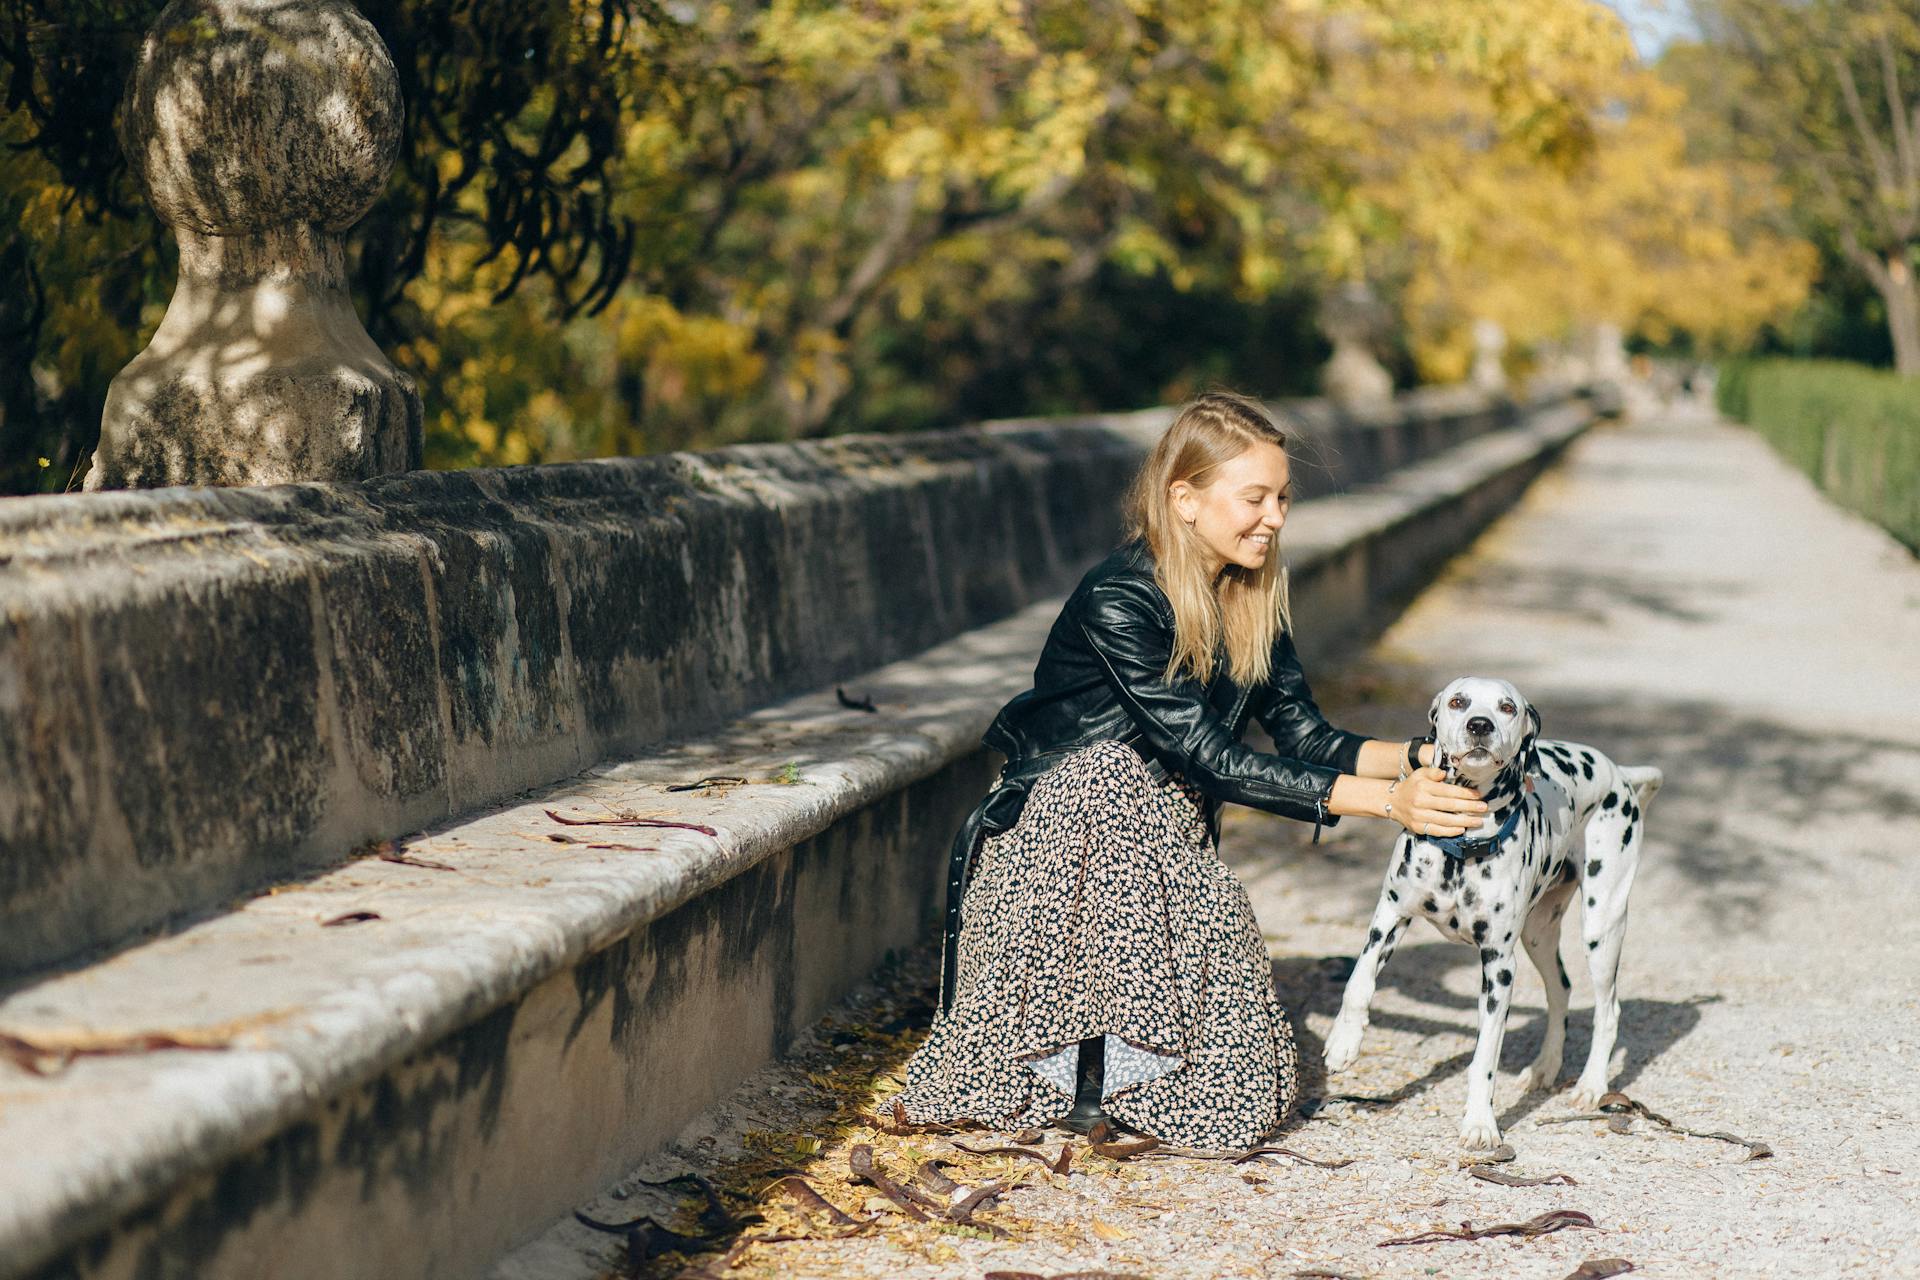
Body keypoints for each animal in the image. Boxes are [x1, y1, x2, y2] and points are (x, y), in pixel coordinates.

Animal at [1320, 679, 1666, 1151]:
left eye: (1507, 708)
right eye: (1457, 701)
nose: (1479, 725)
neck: (1461, 844)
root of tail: (1619, 773)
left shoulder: (1499, 968)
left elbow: (1484, 1056)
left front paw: (1480, 1124)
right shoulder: (1389, 918)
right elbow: (1359, 980)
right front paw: (1343, 1042)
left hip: (1602, 925)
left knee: (1608, 1010)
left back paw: (1591, 1085)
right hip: (1538, 933)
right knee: (1561, 989)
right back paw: (1545, 1066)